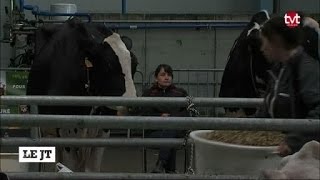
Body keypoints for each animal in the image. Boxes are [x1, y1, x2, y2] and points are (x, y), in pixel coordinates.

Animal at [26, 17, 138, 172]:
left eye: (135, 64)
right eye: (108, 65)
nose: (132, 105)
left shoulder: (102, 131)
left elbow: (92, 168)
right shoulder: (66, 130)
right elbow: (69, 166)